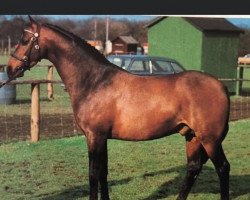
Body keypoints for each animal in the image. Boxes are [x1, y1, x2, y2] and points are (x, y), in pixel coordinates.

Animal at [5, 16, 229, 200]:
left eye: (24, 40)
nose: (9, 69)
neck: (95, 81)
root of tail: (221, 86)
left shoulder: (94, 136)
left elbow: (93, 174)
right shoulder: (102, 137)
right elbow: (103, 173)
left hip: (210, 139)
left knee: (223, 168)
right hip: (192, 136)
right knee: (193, 168)